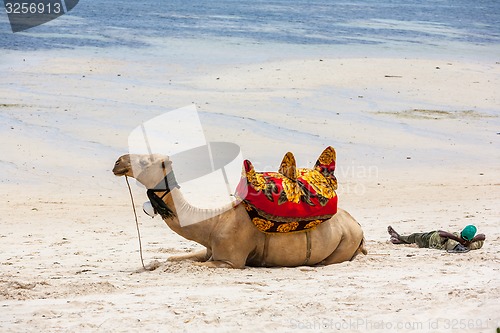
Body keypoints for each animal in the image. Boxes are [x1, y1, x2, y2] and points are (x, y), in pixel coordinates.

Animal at [113, 153, 368, 268]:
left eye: (144, 162)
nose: (118, 162)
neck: (212, 222)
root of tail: (359, 228)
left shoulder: (229, 260)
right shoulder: (210, 250)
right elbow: (172, 259)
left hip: (343, 244)